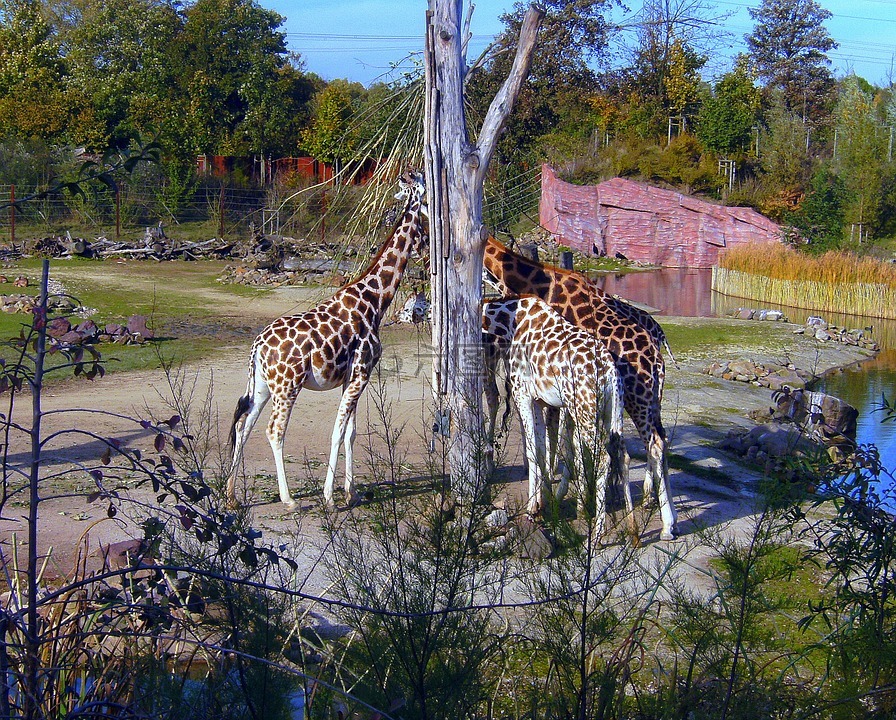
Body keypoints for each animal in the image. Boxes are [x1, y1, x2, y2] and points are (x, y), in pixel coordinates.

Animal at [229, 172, 428, 510]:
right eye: (423, 222)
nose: (427, 248)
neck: (375, 301)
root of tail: (258, 346)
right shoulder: (361, 373)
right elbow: (337, 432)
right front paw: (330, 497)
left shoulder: (354, 377)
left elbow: (351, 432)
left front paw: (352, 492)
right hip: (287, 385)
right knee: (274, 430)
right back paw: (289, 499)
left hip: (263, 386)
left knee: (244, 425)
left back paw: (230, 496)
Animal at [484, 294, 636, 540]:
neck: (508, 323)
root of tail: (610, 372)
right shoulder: (538, 400)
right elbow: (541, 450)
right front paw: (541, 506)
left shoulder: (522, 394)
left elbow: (533, 451)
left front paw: (531, 509)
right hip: (612, 412)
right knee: (623, 456)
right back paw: (633, 530)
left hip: (584, 410)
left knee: (603, 457)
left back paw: (598, 533)